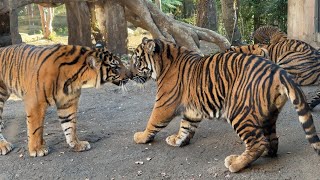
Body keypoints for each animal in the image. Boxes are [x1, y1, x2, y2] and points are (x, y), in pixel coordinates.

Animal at [0, 43, 131, 156]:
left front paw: (76, 144)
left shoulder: (67, 103)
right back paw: (4, 145)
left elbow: (70, 125)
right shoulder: (36, 103)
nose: (130, 75)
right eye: (115, 67)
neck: (76, 78)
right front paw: (37, 149)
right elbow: (35, 128)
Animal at [129, 37, 320, 173]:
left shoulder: (164, 104)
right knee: (271, 141)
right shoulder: (192, 110)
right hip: (268, 114)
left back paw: (235, 163)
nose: (129, 75)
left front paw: (141, 137)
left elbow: (152, 121)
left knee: (258, 142)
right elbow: (185, 126)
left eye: (137, 60)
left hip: (238, 111)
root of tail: (279, 72)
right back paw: (264, 153)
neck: (163, 64)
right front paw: (177, 140)